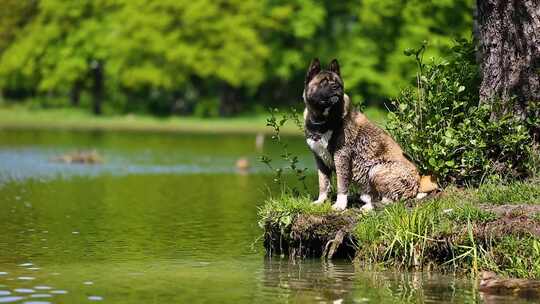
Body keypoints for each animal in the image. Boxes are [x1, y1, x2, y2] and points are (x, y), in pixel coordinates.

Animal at [302, 58, 436, 211]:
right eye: (323, 82)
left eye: (338, 82)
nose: (336, 87)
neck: (323, 119)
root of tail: (418, 184)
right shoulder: (319, 158)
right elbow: (323, 183)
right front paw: (321, 201)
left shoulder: (341, 156)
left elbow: (342, 183)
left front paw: (340, 205)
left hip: (376, 169)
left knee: (391, 199)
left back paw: (369, 206)